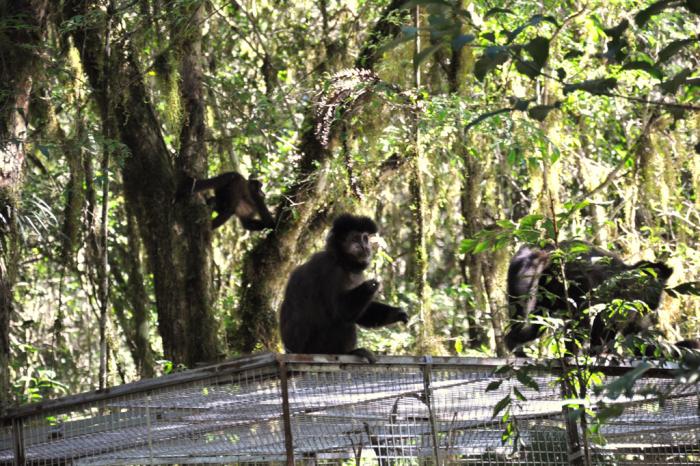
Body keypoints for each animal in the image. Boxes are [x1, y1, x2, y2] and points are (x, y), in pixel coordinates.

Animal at [280, 215, 410, 364]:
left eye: (365, 238)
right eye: (355, 239)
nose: (365, 246)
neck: (342, 262)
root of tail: (291, 351)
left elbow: (361, 314)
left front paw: (397, 313)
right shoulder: (331, 270)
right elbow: (341, 311)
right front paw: (371, 286)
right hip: (314, 348)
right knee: (342, 321)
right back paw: (348, 352)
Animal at [504, 242, 672, 354]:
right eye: (655, 287)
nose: (656, 302)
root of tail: (548, 252)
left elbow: (632, 331)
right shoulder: (619, 296)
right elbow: (603, 321)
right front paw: (598, 351)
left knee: (536, 323)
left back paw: (514, 341)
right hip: (566, 279)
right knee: (580, 315)